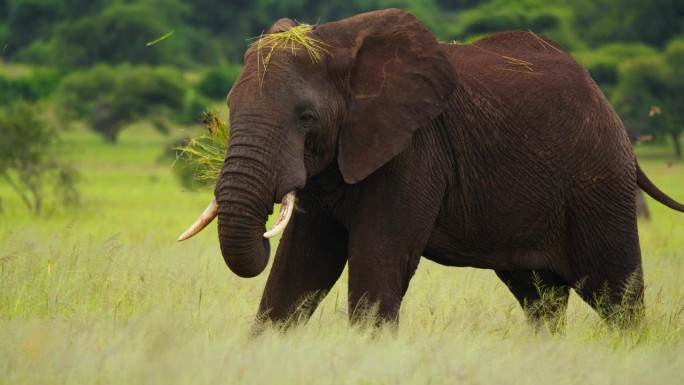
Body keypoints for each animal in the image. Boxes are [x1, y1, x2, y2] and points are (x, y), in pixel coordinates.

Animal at [179, 7, 684, 328]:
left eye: (306, 118)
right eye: (229, 107)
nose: (263, 230)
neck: (342, 44)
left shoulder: (415, 151)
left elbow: (377, 260)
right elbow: (299, 269)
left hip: (599, 182)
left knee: (616, 294)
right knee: (541, 297)